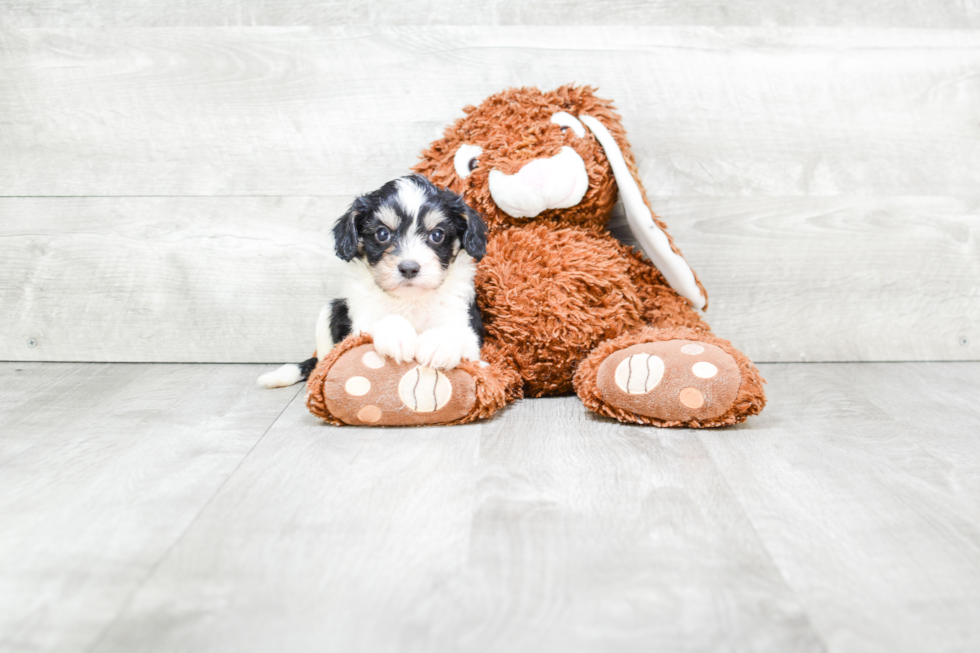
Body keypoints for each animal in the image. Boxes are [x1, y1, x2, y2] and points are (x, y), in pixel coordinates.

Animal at [256, 173, 486, 388]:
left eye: (437, 235)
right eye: (382, 234)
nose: (409, 268)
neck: (409, 300)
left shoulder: (466, 325)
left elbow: (454, 331)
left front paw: (438, 344)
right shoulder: (361, 323)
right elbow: (380, 321)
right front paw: (397, 335)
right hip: (331, 311)